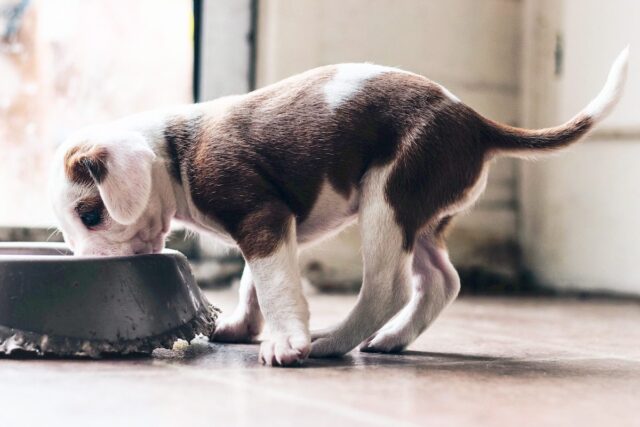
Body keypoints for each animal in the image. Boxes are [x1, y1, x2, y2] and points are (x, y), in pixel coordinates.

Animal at [50, 47, 632, 368]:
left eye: (91, 215)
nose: (85, 267)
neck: (174, 151)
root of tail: (475, 121)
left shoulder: (260, 218)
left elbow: (274, 284)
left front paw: (286, 341)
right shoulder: (272, 225)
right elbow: (253, 281)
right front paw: (241, 325)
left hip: (388, 200)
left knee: (388, 289)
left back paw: (332, 343)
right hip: (422, 216)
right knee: (441, 281)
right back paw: (393, 339)